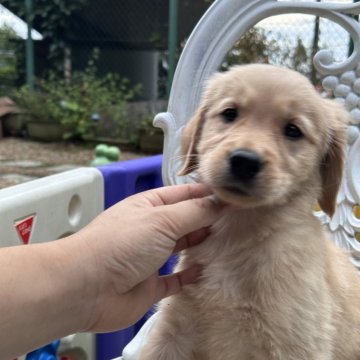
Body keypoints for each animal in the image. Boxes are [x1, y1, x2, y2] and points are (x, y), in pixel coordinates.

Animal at [139, 64, 360, 360]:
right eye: (230, 113)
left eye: (293, 130)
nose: (244, 161)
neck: (238, 233)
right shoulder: (174, 329)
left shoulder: (294, 345)